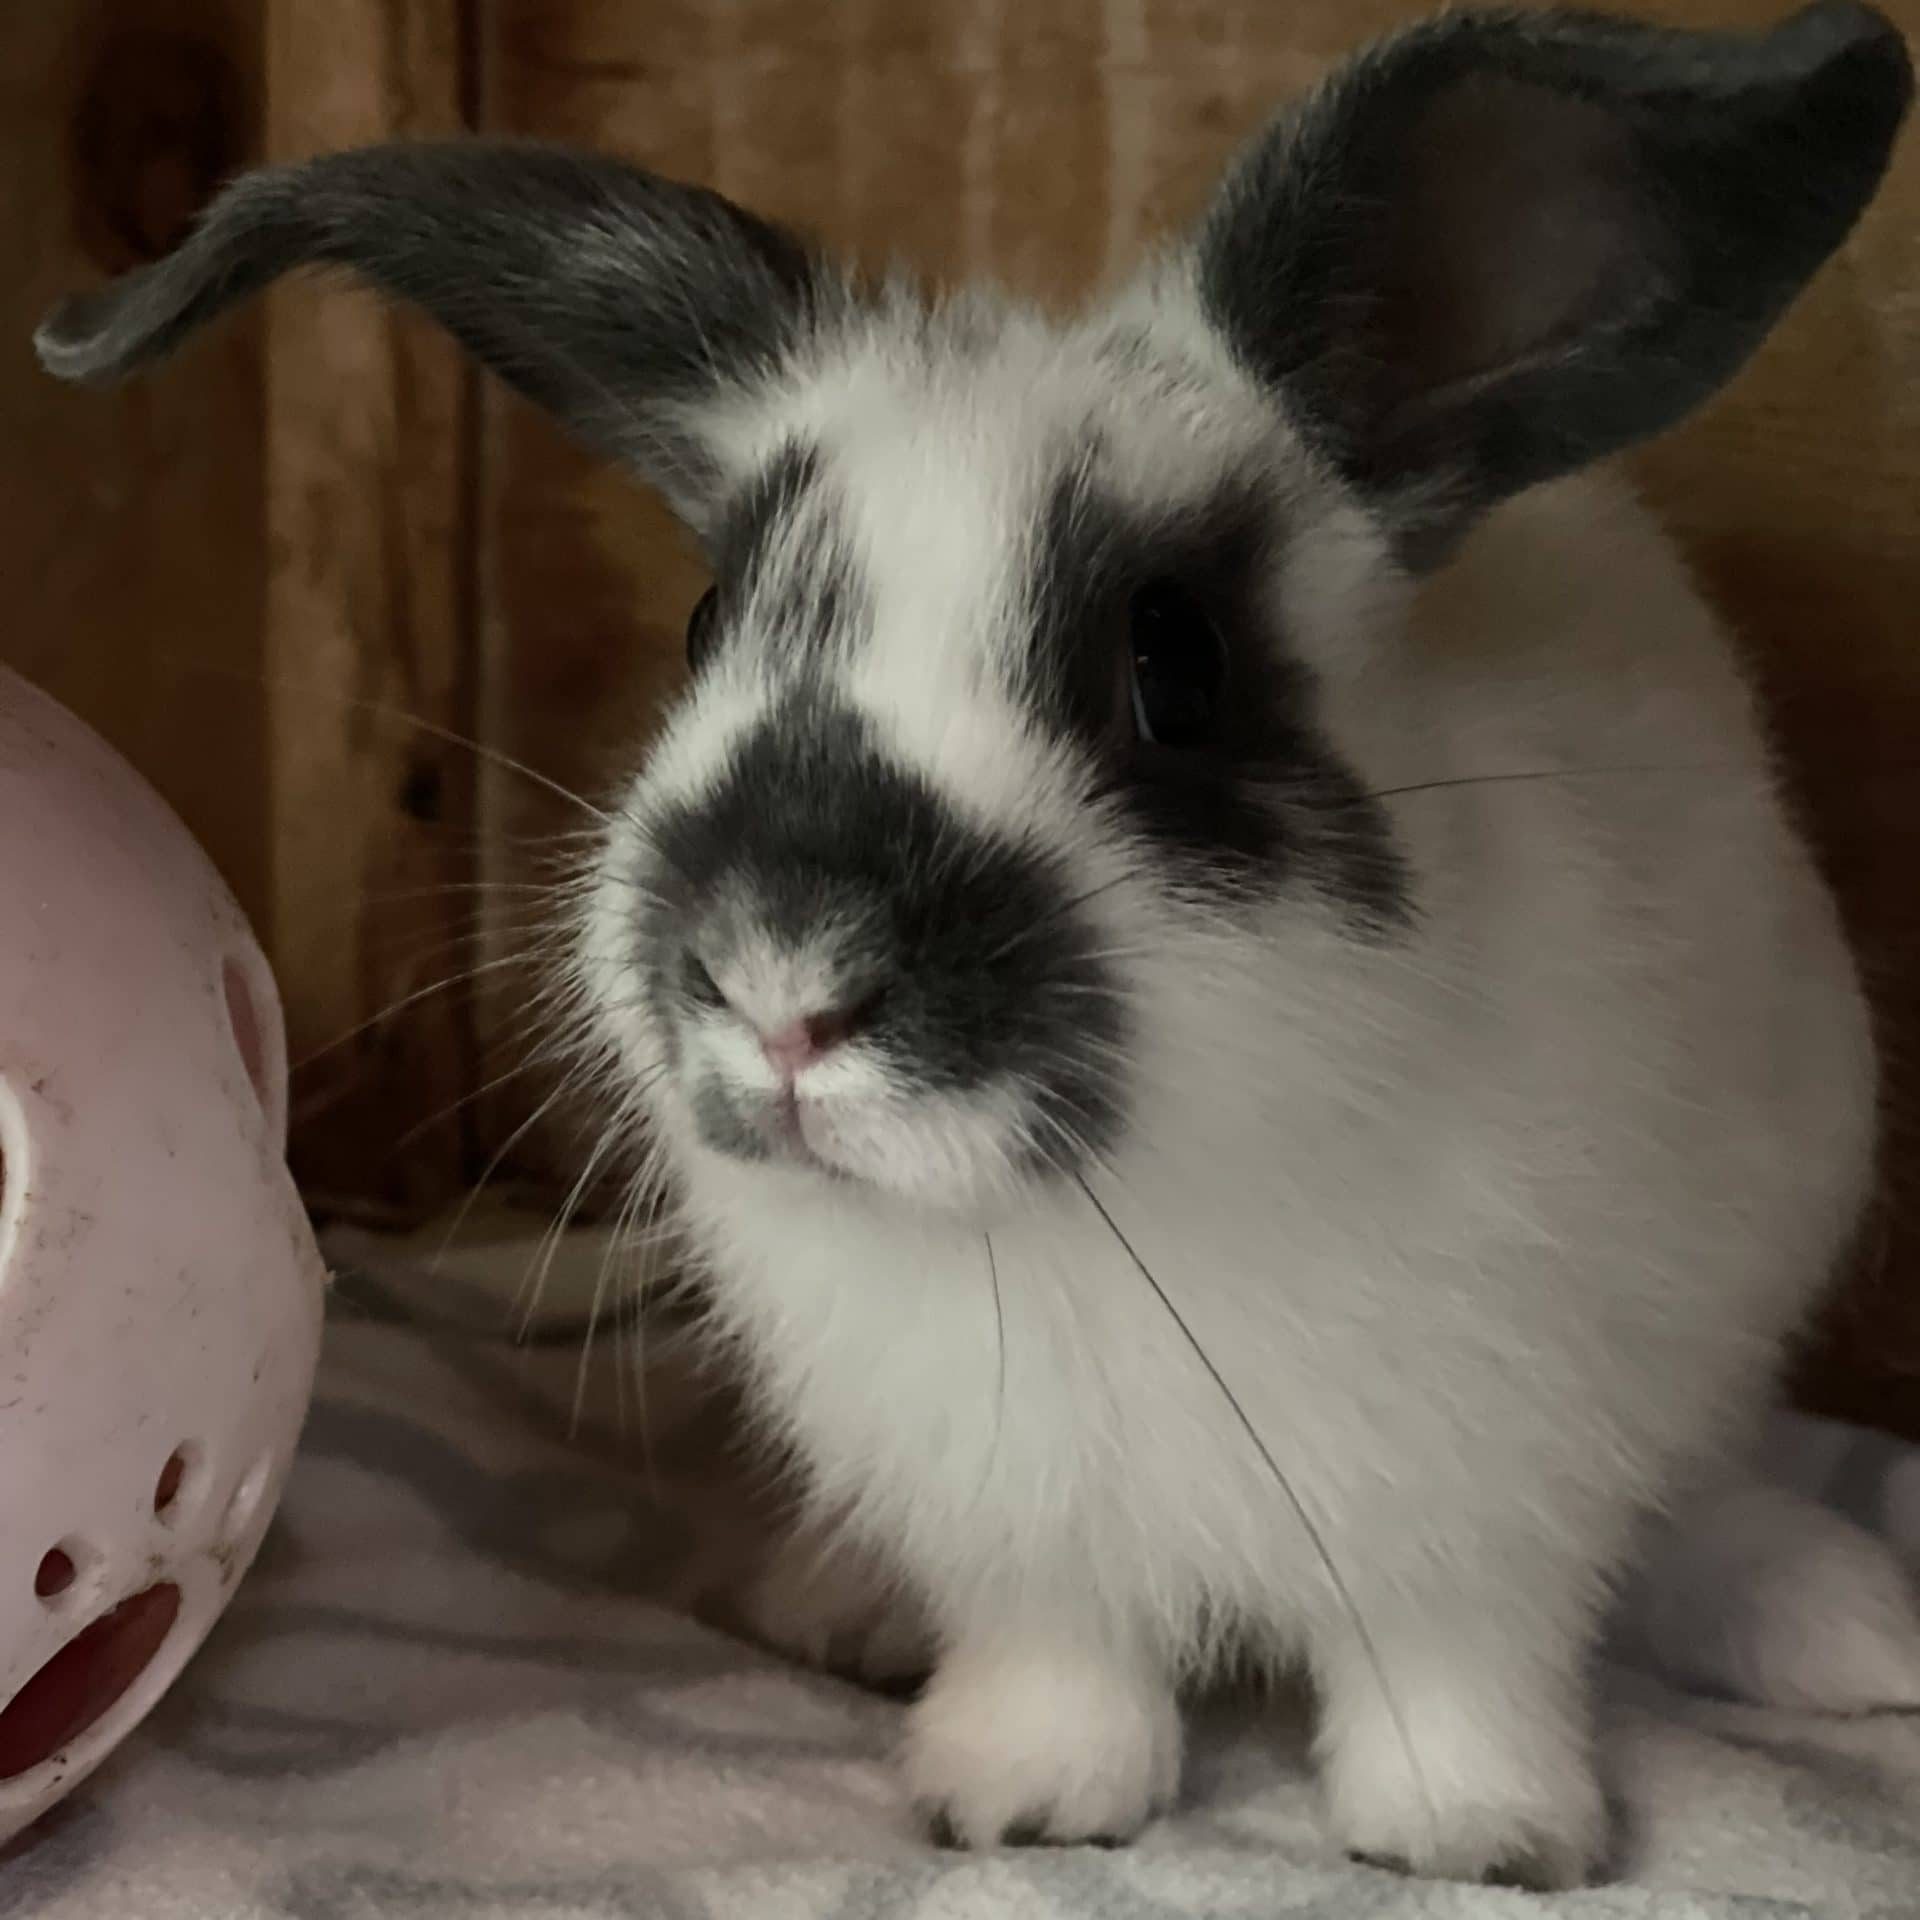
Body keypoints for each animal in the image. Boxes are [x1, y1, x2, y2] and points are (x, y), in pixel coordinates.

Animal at [37, 0, 1913, 1889]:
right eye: (709, 620)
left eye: (1174, 666)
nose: (783, 982)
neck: (1100, 1217)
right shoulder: (1017, 1521)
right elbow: (1062, 1653)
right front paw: (1022, 1800)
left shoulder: (1488, 1499)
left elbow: (1459, 1662)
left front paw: (1478, 1839)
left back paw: (1844, 1626)